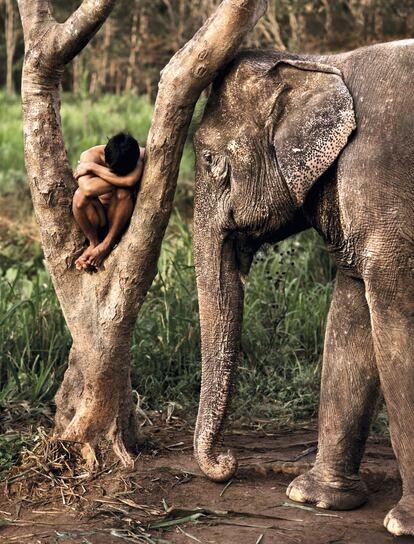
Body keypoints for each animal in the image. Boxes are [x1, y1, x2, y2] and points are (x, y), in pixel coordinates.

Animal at [192, 40, 414, 536]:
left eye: (210, 160)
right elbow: (349, 324)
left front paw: (402, 524)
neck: (322, 62)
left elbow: (395, 325)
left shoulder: (381, 186)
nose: (228, 463)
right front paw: (314, 499)